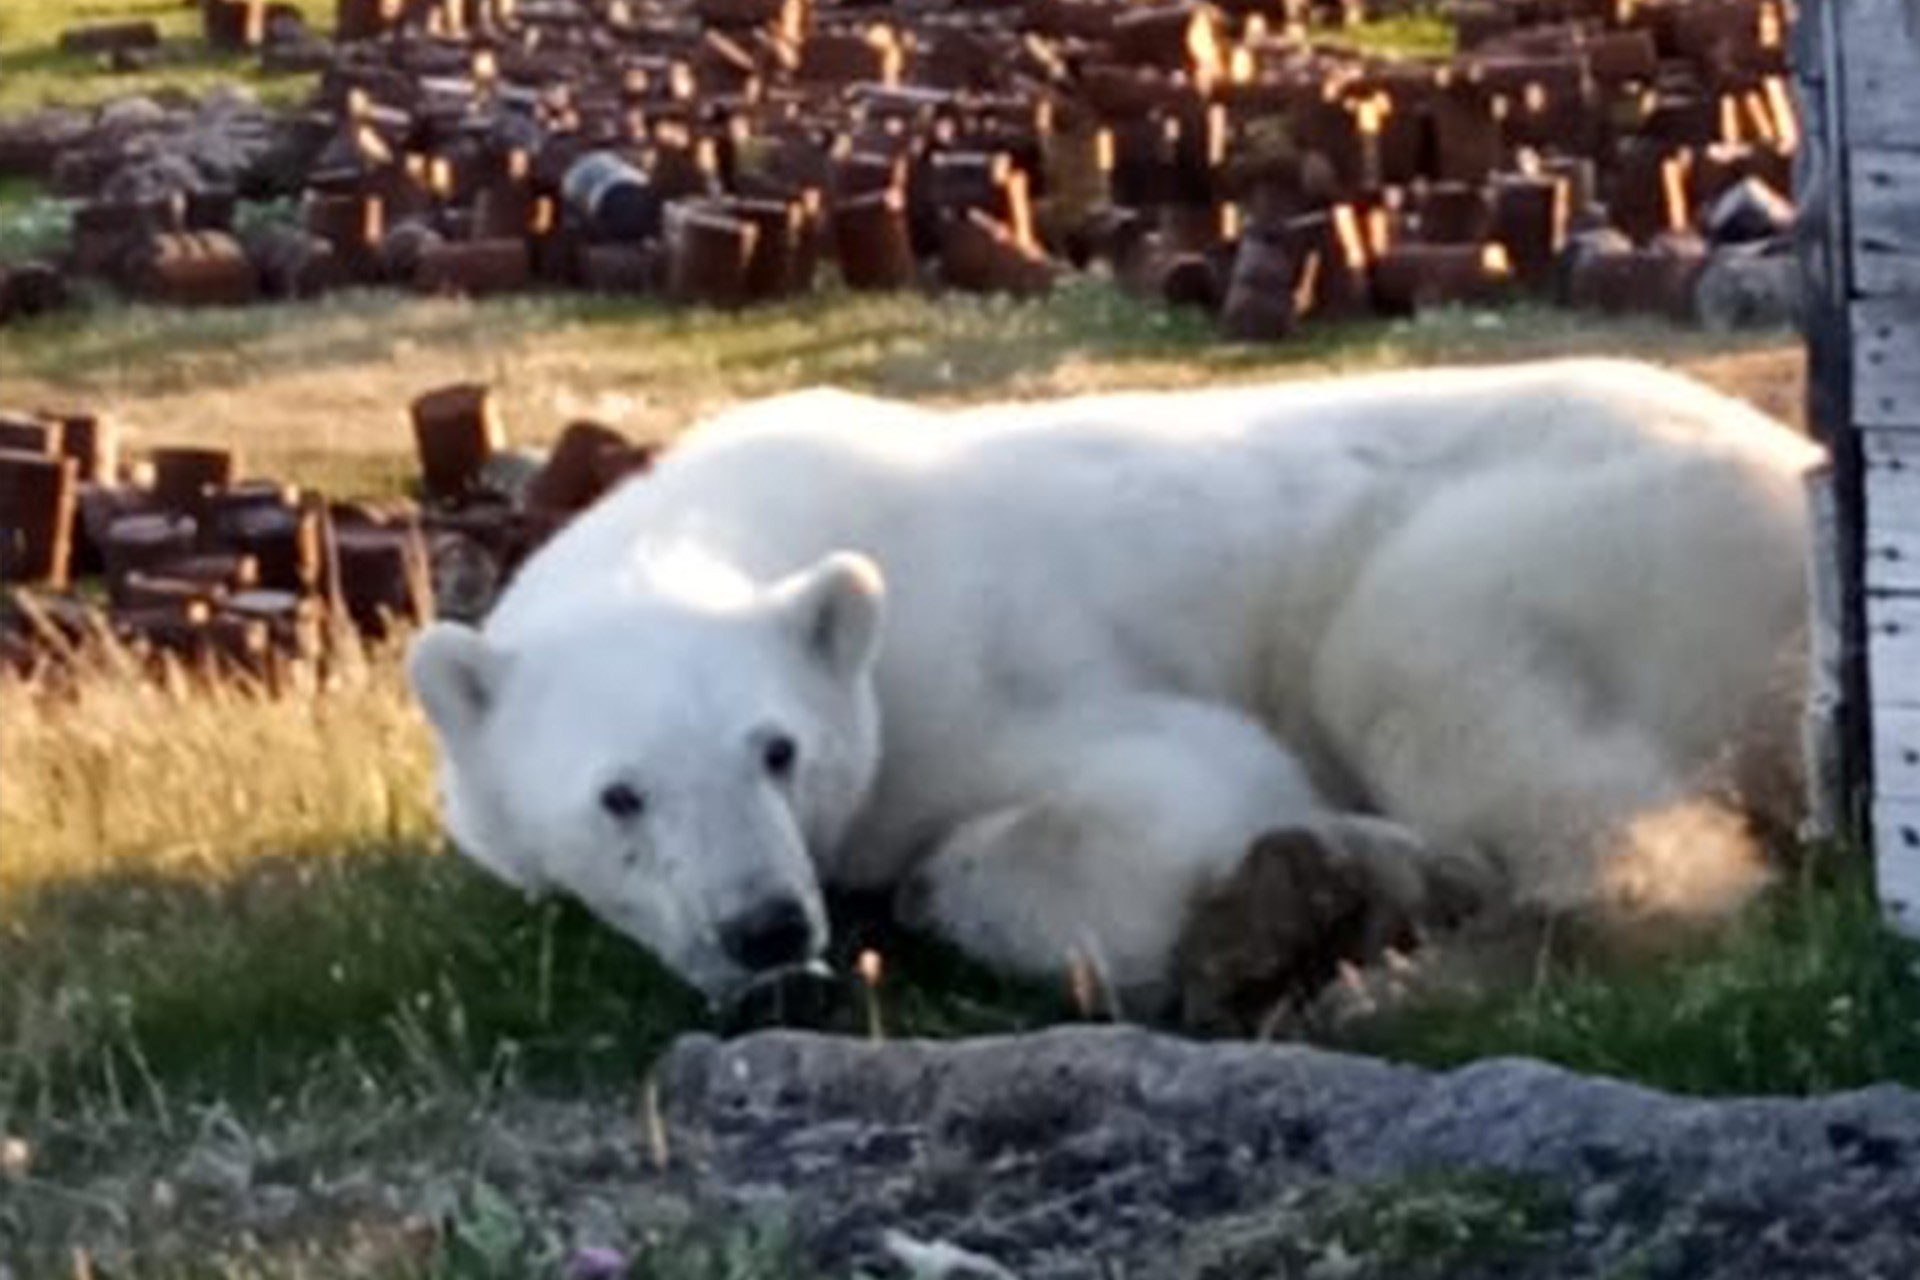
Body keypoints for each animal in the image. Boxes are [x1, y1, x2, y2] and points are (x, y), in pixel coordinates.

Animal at [412, 360, 1820, 1020]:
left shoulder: (978, 668)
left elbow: (1173, 793)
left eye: (778, 748)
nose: (765, 926)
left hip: (1593, 532)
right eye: (620, 794)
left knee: (1434, 669)